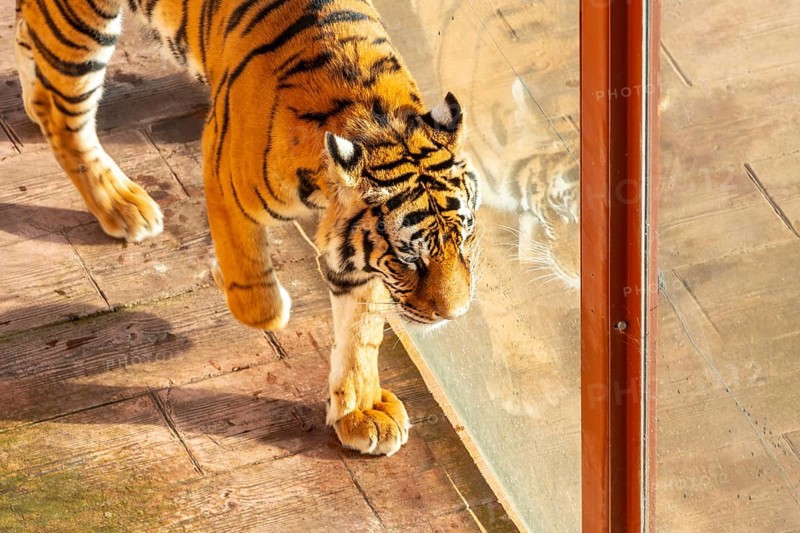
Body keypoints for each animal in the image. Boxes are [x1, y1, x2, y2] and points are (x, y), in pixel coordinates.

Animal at [13, 0, 481, 456]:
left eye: (464, 241)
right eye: (409, 260)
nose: (455, 315)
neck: (377, 121)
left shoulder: (359, 256)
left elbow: (362, 332)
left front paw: (361, 411)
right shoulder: (224, 176)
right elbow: (261, 303)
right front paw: (237, 285)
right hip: (79, 30)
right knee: (63, 115)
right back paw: (121, 204)